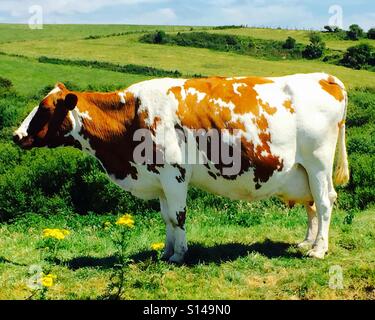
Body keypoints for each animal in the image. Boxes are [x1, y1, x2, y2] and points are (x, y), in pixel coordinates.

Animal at [13, 74, 350, 264]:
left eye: (45, 109)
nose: (16, 135)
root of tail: (322, 76)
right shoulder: (159, 178)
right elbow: (166, 218)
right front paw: (166, 251)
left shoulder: (174, 173)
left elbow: (178, 216)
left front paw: (179, 254)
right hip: (302, 171)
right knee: (311, 205)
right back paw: (307, 241)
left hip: (318, 162)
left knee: (324, 203)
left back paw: (318, 250)